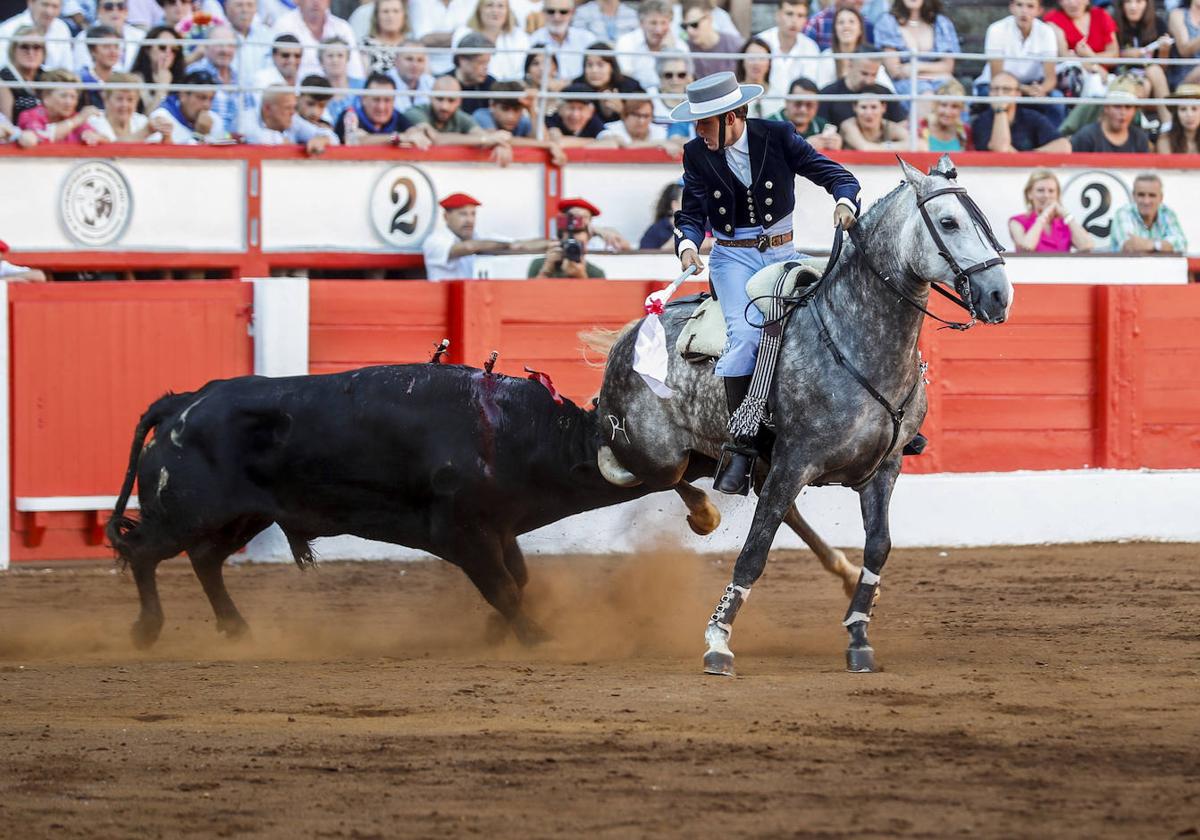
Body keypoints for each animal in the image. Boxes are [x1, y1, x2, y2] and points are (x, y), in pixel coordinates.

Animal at [600, 157, 1012, 676]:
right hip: (658, 454)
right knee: (646, 473)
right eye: (949, 222)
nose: (999, 295)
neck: (856, 338)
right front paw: (717, 642)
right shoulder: (795, 460)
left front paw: (858, 633)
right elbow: (754, 551)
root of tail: (629, 334)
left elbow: (879, 545)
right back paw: (705, 513)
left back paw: (841, 569)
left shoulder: (885, 467)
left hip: (751, 462)